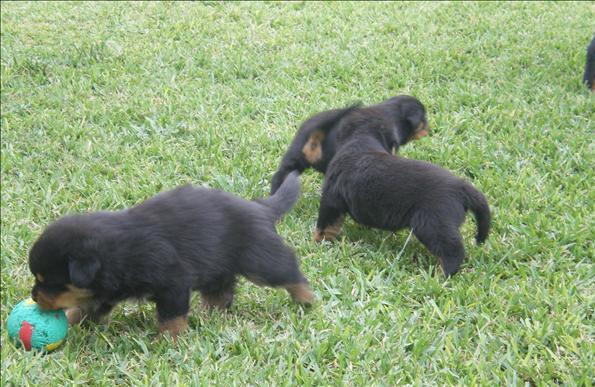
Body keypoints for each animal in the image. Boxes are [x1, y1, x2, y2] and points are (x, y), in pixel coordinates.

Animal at [29, 172, 314, 340]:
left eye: (48, 282)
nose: (33, 296)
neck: (116, 252)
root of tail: (259, 206)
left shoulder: (173, 281)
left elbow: (171, 317)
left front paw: (170, 340)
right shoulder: (103, 292)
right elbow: (85, 309)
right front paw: (70, 322)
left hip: (260, 260)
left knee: (289, 271)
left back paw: (307, 300)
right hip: (216, 266)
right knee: (221, 292)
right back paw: (209, 315)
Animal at [270, 95, 428, 194]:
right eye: (423, 118)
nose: (429, 127)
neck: (392, 114)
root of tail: (317, 136)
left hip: (295, 155)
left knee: (280, 175)